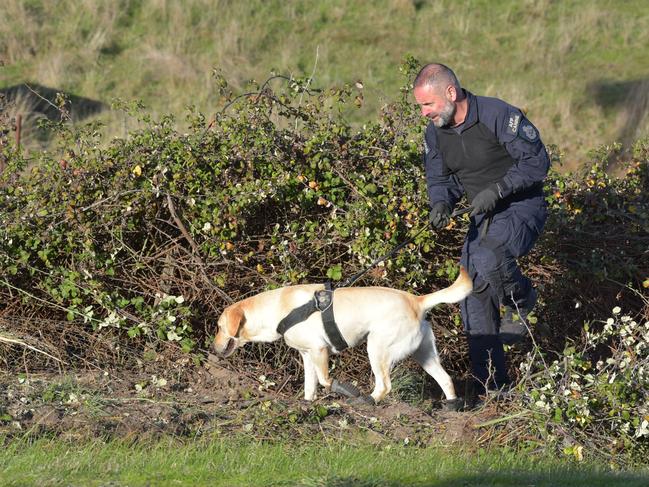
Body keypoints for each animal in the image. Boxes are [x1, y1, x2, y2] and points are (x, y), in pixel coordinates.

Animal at [213, 266, 470, 408]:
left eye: (218, 327)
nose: (212, 347)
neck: (279, 309)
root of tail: (417, 301)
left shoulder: (319, 350)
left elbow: (325, 380)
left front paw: (345, 390)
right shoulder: (307, 355)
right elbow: (310, 385)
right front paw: (307, 403)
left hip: (376, 348)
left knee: (384, 386)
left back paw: (367, 401)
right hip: (424, 354)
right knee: (446, 379)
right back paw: (451, 406)